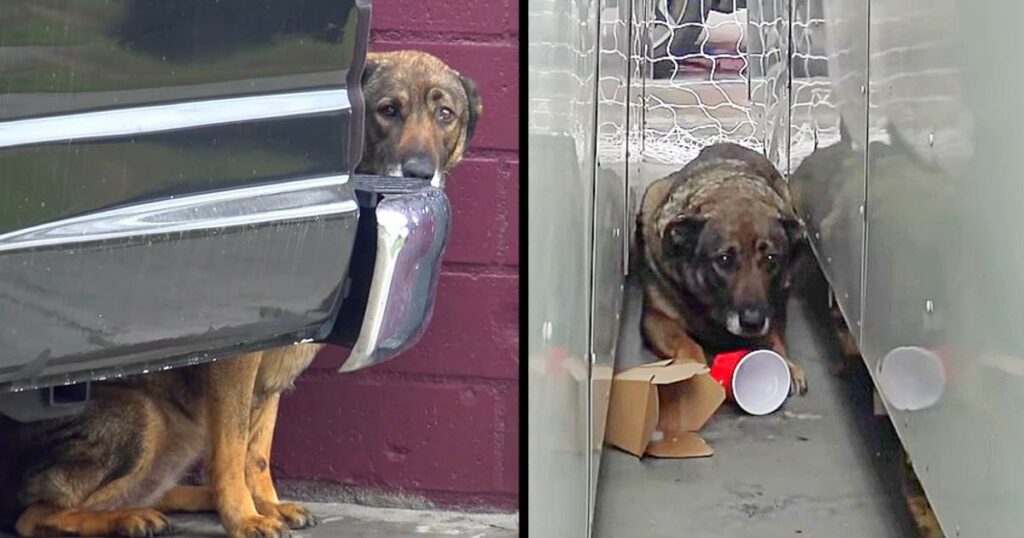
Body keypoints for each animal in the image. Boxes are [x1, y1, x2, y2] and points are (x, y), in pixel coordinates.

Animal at [1, 50, 483, 536]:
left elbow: (258, 451)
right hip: (145, 415)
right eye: (388, 110)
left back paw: (188, 500)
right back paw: (131, 517)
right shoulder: (237, 361)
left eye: (446, 115)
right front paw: (245, 515)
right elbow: (232, 450)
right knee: (35, 513)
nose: (420, 173)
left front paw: (265, 503)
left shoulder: (273, 368)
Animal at [630, 142, 806, 393]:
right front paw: (690, 367)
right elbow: (687, 343)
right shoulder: (656, 319)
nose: (753, 322)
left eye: (771, 258)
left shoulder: (775, 306)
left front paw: (785, 364)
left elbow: (774, 337)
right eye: (724, 259)